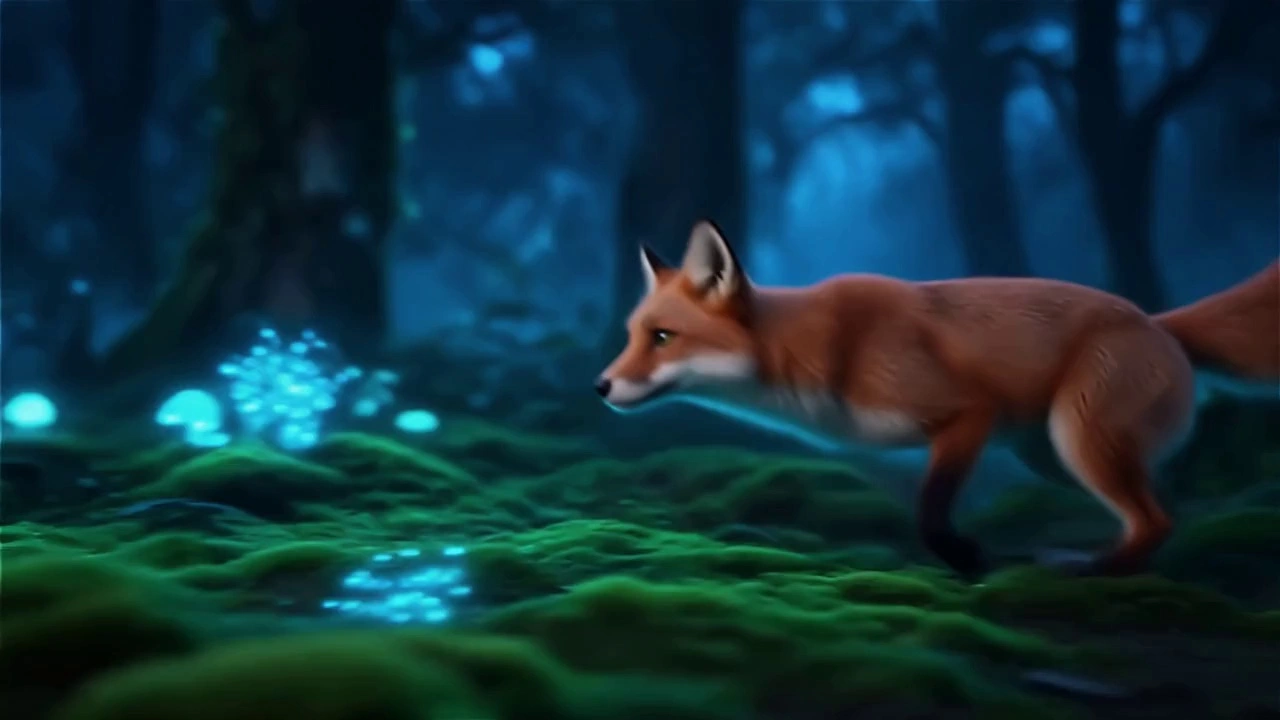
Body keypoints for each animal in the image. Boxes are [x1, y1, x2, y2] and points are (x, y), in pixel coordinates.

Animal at [596, 220, 1280, 579]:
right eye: (632, 335)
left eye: (663, 337)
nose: (599, 386)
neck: (819, 352)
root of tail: (1157, 320)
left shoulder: (966, 413)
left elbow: (929, 510)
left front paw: (963, 556)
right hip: (1055, 455)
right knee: (1168, 500)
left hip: (1080, 439)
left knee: (1156, 518)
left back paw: (1094, 568)